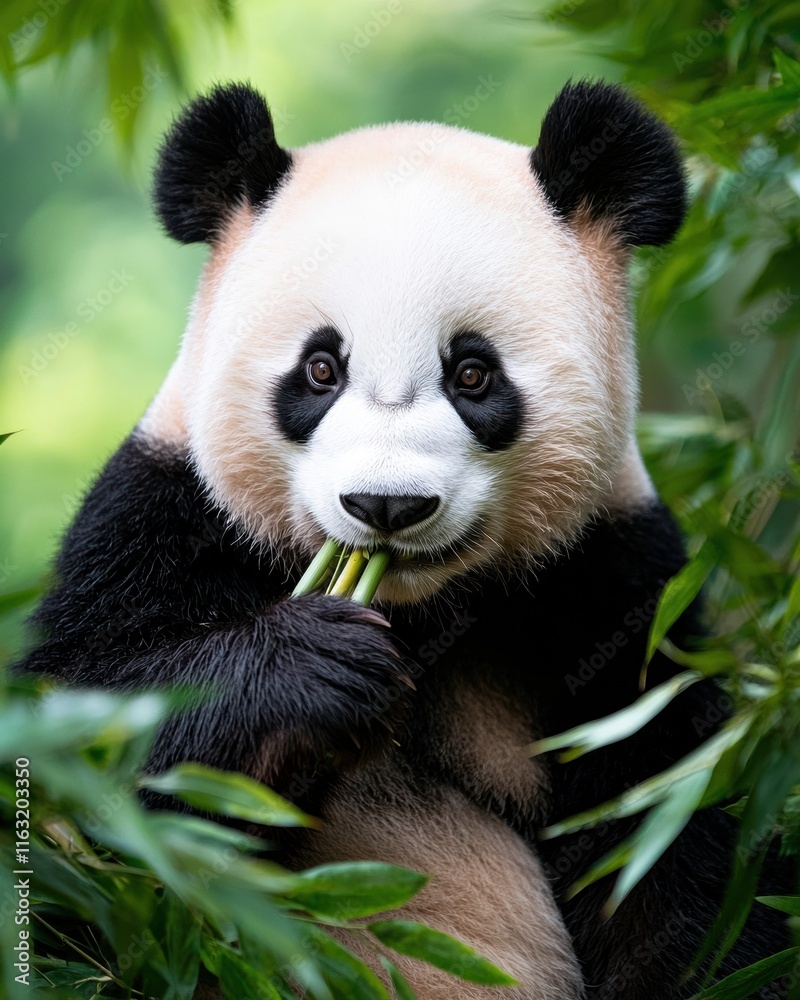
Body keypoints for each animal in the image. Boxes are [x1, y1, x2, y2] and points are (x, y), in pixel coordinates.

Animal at [16, 79, 791, 998]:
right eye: (321, 369)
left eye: (473, 373)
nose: (386, 505)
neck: (416, 612)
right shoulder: (162, 517)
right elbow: (89, 739)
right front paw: (317, 671)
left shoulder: (614, 588)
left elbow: (671, 843)